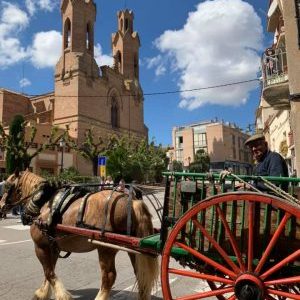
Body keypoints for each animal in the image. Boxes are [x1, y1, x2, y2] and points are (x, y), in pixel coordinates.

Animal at [0, 171, 159, 300]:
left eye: (7, 185)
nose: (1, 206)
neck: (44, 203)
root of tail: (133, 201)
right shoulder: (53, 247)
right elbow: (49, 271)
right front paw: (42, 293)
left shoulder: (40, 247)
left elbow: (49, 272)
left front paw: (60, 295)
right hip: (133, 248)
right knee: (141, 275)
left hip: (105, 248)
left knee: (109, 277)